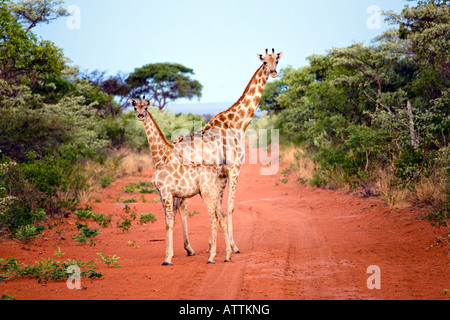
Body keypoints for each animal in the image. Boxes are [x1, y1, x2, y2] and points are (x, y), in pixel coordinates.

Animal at [129, 97, 229, 264]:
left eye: (146, 107)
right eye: (135, 108)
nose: (141, 116)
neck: (160, 160)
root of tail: (216, 172)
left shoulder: (167, 192)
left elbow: (170, 222)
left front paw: (168, 258)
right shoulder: (161, 194)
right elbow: (166, 222)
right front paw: (169, 255)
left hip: (207, 192)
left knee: (213, 218)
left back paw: (211, 257)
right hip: (212, 193)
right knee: (221, 215)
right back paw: (228, 256)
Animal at [173, 48, 284, 252]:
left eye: (277, 61)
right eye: (264, 62)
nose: (273, 72)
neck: (237, 123)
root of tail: (174, 146)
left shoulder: (222, 174)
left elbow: (219, 207)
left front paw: (212, 245)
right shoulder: (234, 168)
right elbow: (230, 206)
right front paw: (233, 246)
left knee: (180, 205)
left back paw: (188, 248)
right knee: (182, 205)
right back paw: (188, 248)